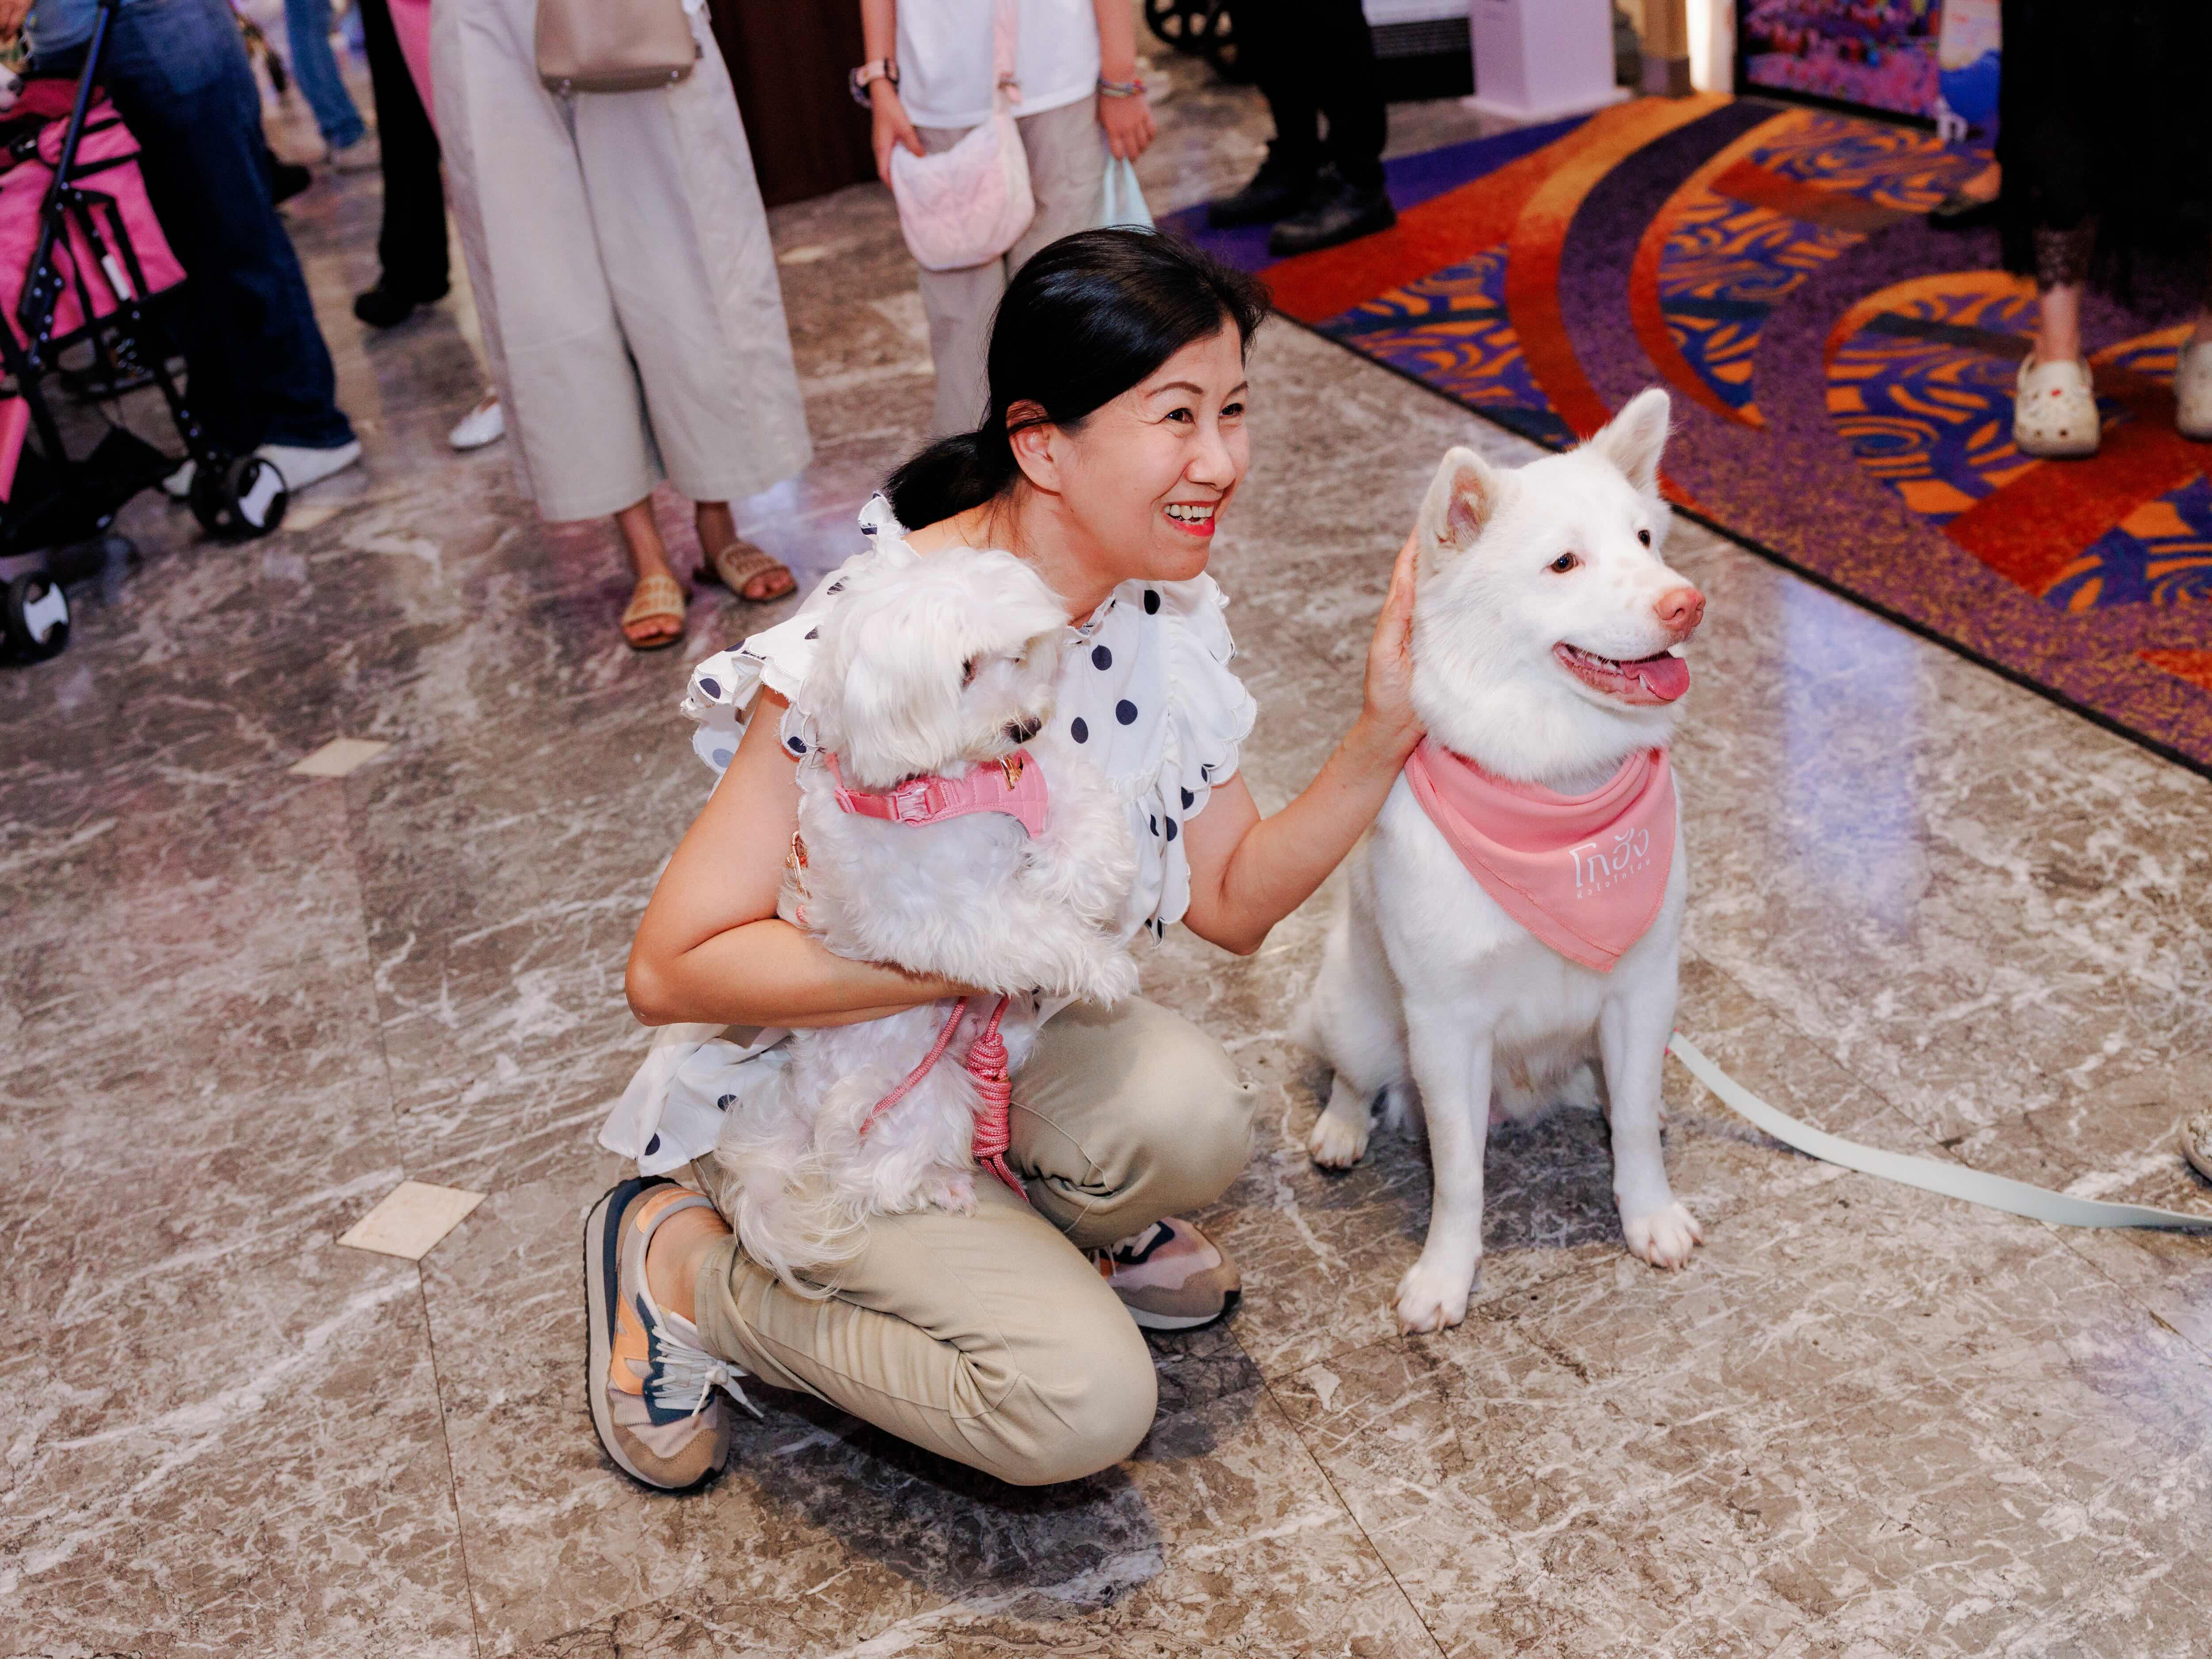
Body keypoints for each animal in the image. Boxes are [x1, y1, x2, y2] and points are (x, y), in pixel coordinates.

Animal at [713, 547, 1138, 1290]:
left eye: (1016, 653)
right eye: (964, 668)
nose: (1025, 726)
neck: (952, 785)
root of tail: (798, 1102)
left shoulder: (1041, 778)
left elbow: (1092, 832)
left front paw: (1070, 884)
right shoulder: (944, 917)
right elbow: (1025, 930)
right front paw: (1103, 964)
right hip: (918, 1094)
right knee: (869, 1176)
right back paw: (938, 1186)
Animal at [1300, 388, 1709, 1334]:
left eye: (1646, 540)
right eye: (1564, 562)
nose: (1689, 604)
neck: (1558, 796)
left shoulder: (1643, 994)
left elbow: (1636, 1128)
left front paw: (1649, 1215)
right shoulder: (1448, 1028)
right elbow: (1459, 1179)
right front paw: (1445, 1277)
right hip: (1359, 1016)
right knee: (1352, 1077)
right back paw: (1342, 1129)